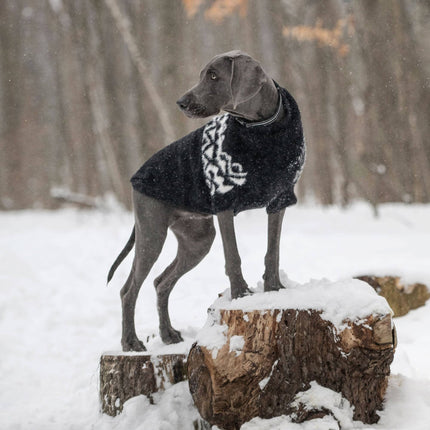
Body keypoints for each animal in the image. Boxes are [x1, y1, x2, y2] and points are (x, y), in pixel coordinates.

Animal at [109, 51, 304, 352]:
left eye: (213, 76)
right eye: (203, 74)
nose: (181, 102)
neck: (261, 129)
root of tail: (136, 176)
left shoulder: (280, 200)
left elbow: (273, 251)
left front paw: (274, 290)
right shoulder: (224, 200)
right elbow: (233, 255)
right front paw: (241, 294)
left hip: (197, 239)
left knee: (161, 282)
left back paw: (168, 334)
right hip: (151, 231)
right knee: (128, 289)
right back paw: (131, 342)